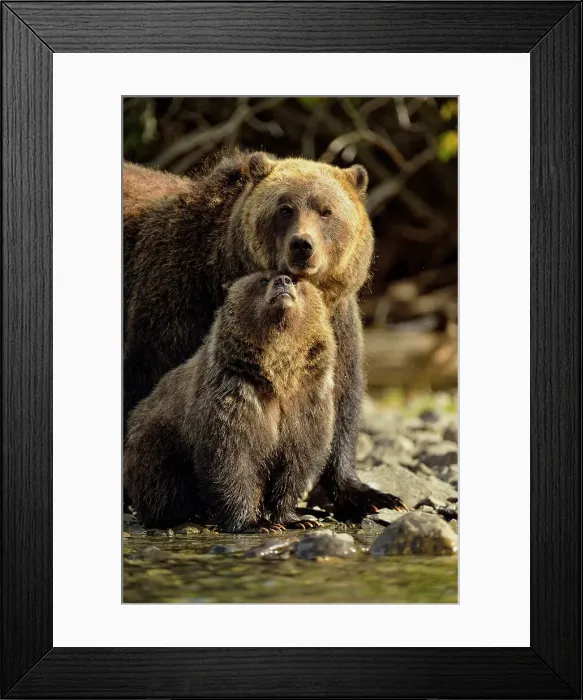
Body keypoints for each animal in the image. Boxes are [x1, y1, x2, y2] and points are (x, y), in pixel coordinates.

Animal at [124, 271, 336, 532]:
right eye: (262, 280)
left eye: (296, 280)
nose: (283, 281)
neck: (278, 375)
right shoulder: (234, 396)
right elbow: (231, 458)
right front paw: (254, 524)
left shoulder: (306, 403)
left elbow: (296, 462)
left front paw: (296, 519)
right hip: (158, 440)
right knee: (164, 482)